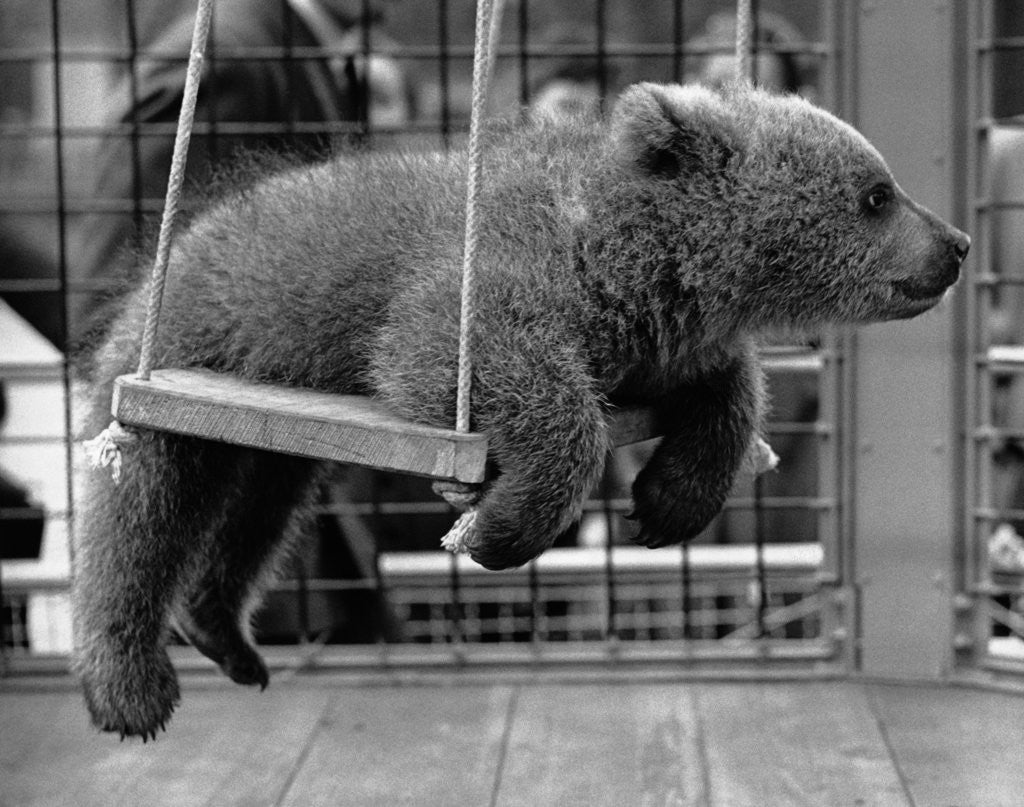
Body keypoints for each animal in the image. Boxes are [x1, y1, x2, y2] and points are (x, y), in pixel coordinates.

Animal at [73, 81, 969, 739]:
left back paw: (224, 629)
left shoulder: (656, 342)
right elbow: (472, 359)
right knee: (139, 508)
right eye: (877, 194)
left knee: (262, 506)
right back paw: (129, 684)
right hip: (182, 355)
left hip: (269, 422)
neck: (630, 261)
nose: (957, 243)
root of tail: (177, 242)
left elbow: (726, 385)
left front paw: (669, 497)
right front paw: (502, 525)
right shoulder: (484, 285)